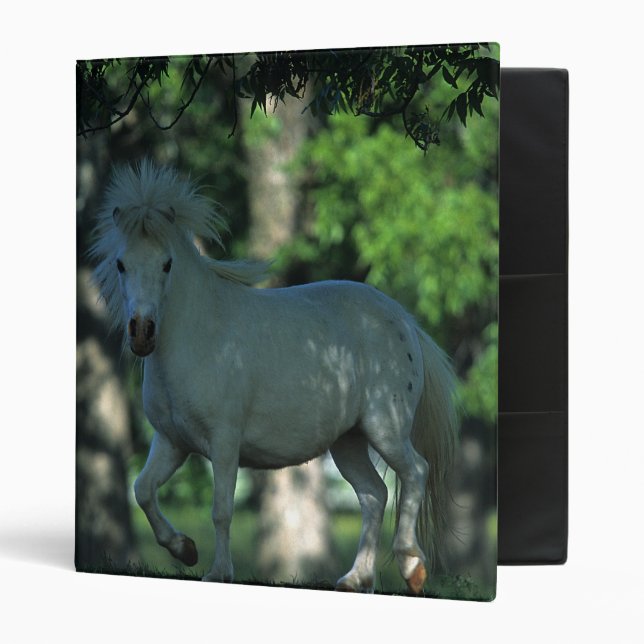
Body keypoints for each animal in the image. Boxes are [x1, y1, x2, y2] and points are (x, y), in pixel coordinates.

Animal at [90, 159, 459, 594]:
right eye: (121, 263)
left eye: (167, 263)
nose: (142, 333)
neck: (198, 334)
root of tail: (404, 320)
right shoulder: (172, 441)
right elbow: (143, 490)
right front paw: (185, 549)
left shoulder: (224, 441)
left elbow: (221, 509)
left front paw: (218, 571)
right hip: (348, 441)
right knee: (373, 494)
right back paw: (356, 579)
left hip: (385, 427)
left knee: (415, 472)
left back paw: (411, 566)